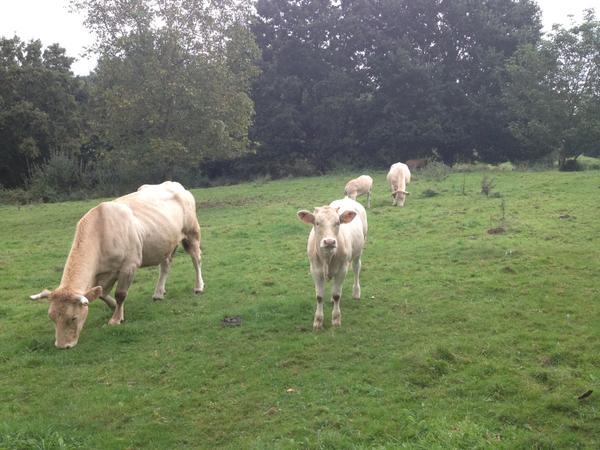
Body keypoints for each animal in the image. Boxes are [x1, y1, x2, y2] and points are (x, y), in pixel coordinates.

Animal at [29, 181, 204, 350]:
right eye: (51, 317)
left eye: (73, 317)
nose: (62, 345)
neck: (100, 232)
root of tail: (175, 185)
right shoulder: (102, 273)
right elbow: (101, 293)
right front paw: (114, 307)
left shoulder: (129, 266)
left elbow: (120, 294)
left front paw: (116, 319)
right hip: (164, 243)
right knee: (165, 265)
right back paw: (159, 293)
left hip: (191, 233)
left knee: (196, 259)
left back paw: (198, 287)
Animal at [296, 197, 366, 330]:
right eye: (317, 223)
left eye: (338, 222)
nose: (329, 242)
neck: (327, 258)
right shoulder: (315, 270)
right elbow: (319, 296)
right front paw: (318, 321)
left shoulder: (342, 269)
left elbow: (337, 294)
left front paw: (336, 319)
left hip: (358, 252)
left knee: (356, 268)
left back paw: (356, 292)